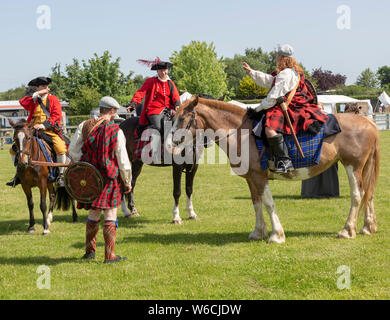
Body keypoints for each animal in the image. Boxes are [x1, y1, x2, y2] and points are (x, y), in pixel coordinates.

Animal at [171, 97, 380, 242]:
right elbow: (256, 203)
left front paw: (276, 235)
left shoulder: (259, 178)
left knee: (358, 195)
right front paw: (258, 232)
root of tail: (369, 123)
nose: (172, 142)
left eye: (183, 117)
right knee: (369, 194)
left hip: (352, 166)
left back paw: (347, 230)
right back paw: (367, 227)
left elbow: (269, 203)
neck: (241, 132)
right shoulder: (251, 179)